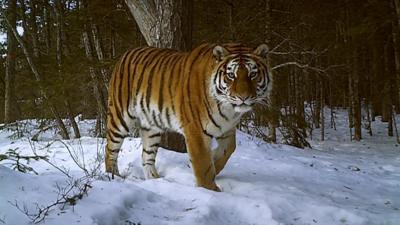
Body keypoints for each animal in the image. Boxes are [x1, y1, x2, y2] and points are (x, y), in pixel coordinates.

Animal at [104, 43, 270, 191]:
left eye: (253, 74)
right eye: (231, 75)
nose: (243, 97)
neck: (228, 109)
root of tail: (127, 53)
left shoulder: (226, 128)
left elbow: (229, 149)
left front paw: (214, 165)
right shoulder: (195, 130)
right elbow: (202, 164)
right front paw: (210, 189)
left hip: (151, 127)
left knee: (147, 156)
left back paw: (155, 179)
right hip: (119, 117)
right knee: (110, 149)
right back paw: (113, 176)